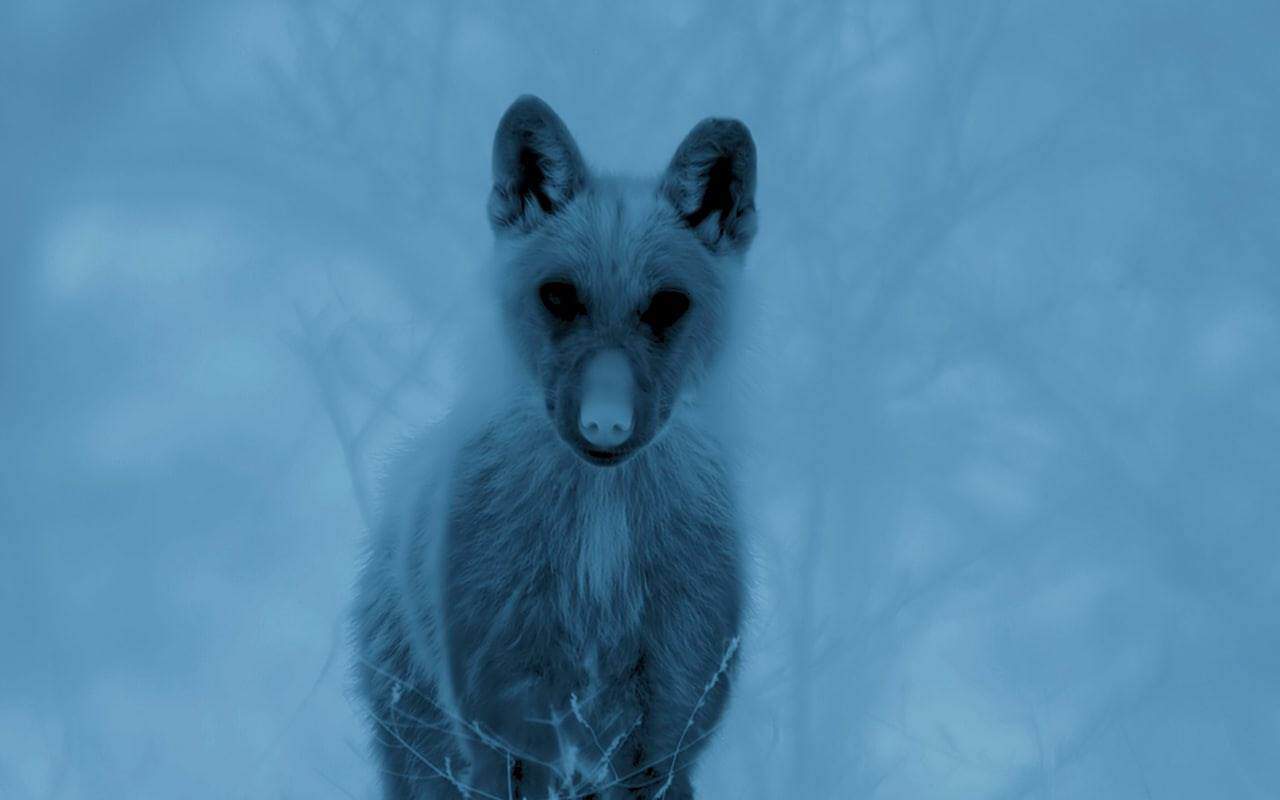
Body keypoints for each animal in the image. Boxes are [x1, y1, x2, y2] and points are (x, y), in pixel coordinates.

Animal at [355, 95, 757, 799]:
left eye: (667, 306)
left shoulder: (663, 740)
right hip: (431, 760)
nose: (605, 425)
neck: (596, 569)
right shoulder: (505, 725)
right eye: (560, 296)